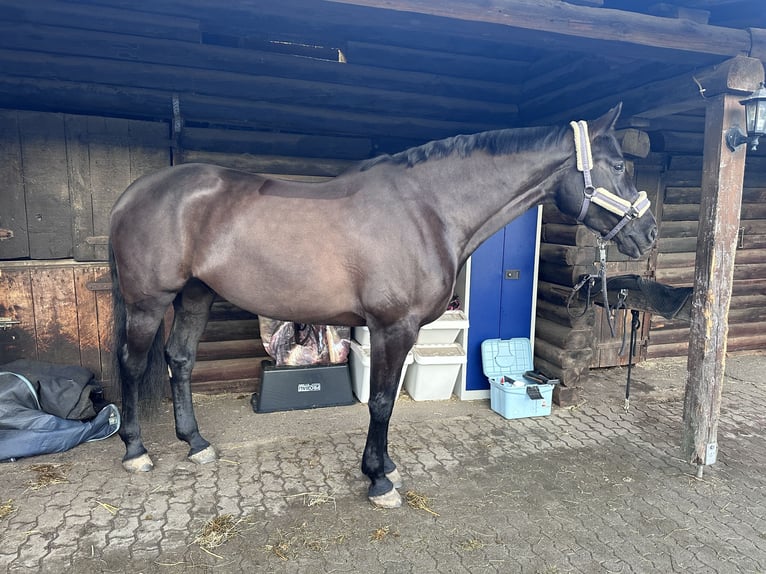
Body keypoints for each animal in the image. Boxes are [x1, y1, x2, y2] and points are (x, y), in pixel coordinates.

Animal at [109, 104, 660, 508]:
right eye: (618, 166)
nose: (649, 233)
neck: (428, 210)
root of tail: (132, 195)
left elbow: (388, 399)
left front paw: (386, 466)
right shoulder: (393, 327)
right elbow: (379, 402)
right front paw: (378, 481)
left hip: (194, 295)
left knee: (179, 360)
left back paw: (196, 443)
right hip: (149, 302)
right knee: (132, 365)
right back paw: (135, 450)